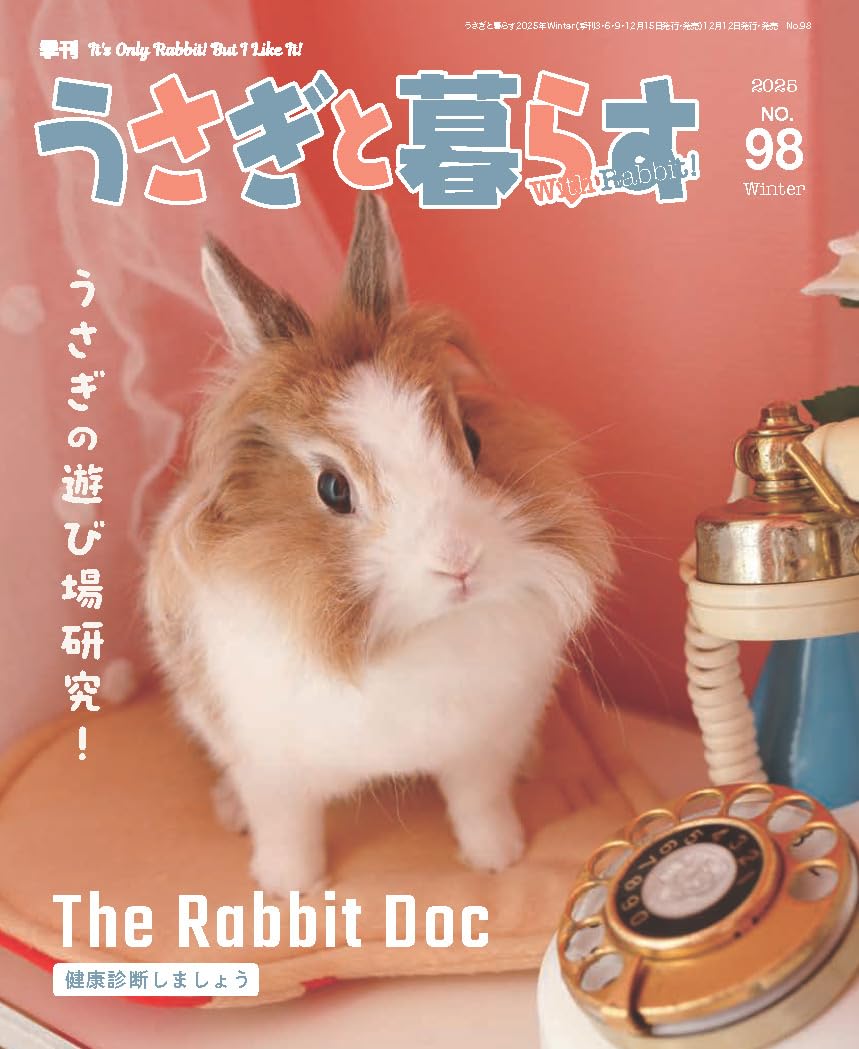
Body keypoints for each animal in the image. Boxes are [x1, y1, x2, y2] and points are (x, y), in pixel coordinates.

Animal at [144, 192, 615, 897]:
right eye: (333, 488)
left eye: (473, 439)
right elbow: (288, 829)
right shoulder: (271, 769)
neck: (413, 636)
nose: (459, 562)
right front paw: (288, 887)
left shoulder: (482, 745)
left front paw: (497, 857)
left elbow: (479, 803)